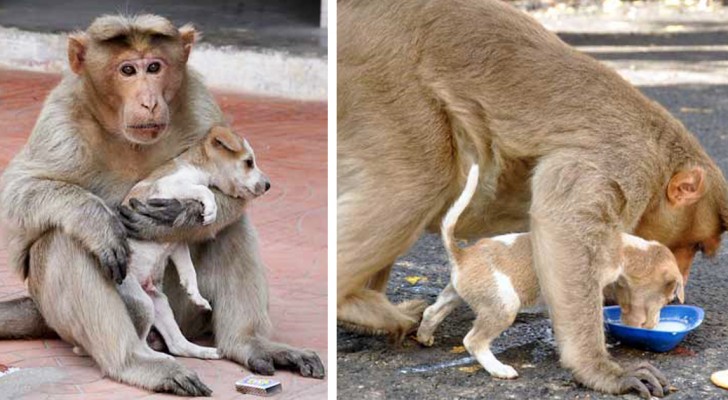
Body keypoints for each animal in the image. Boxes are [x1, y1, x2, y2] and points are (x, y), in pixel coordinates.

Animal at [0, 14, 324, 396]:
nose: (149, 102)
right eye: (127, 70)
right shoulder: (61, 117)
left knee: (228, 230)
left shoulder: (199, 99)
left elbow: (221, 211)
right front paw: (100, 222)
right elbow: (18, 192)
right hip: (102, 306)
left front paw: (178, 219)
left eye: (154, 67)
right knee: (62, 240)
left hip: (175, 308)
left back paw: (245, 343)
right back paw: (134, 360)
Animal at [416, 164, 684, 380]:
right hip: (503, 305)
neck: (625, 249)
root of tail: (462, 254)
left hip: (456, 294)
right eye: (669, 297)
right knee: (473, 341)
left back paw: (424, 336)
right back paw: (499, 369)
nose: (653, 326)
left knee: (432, 311)